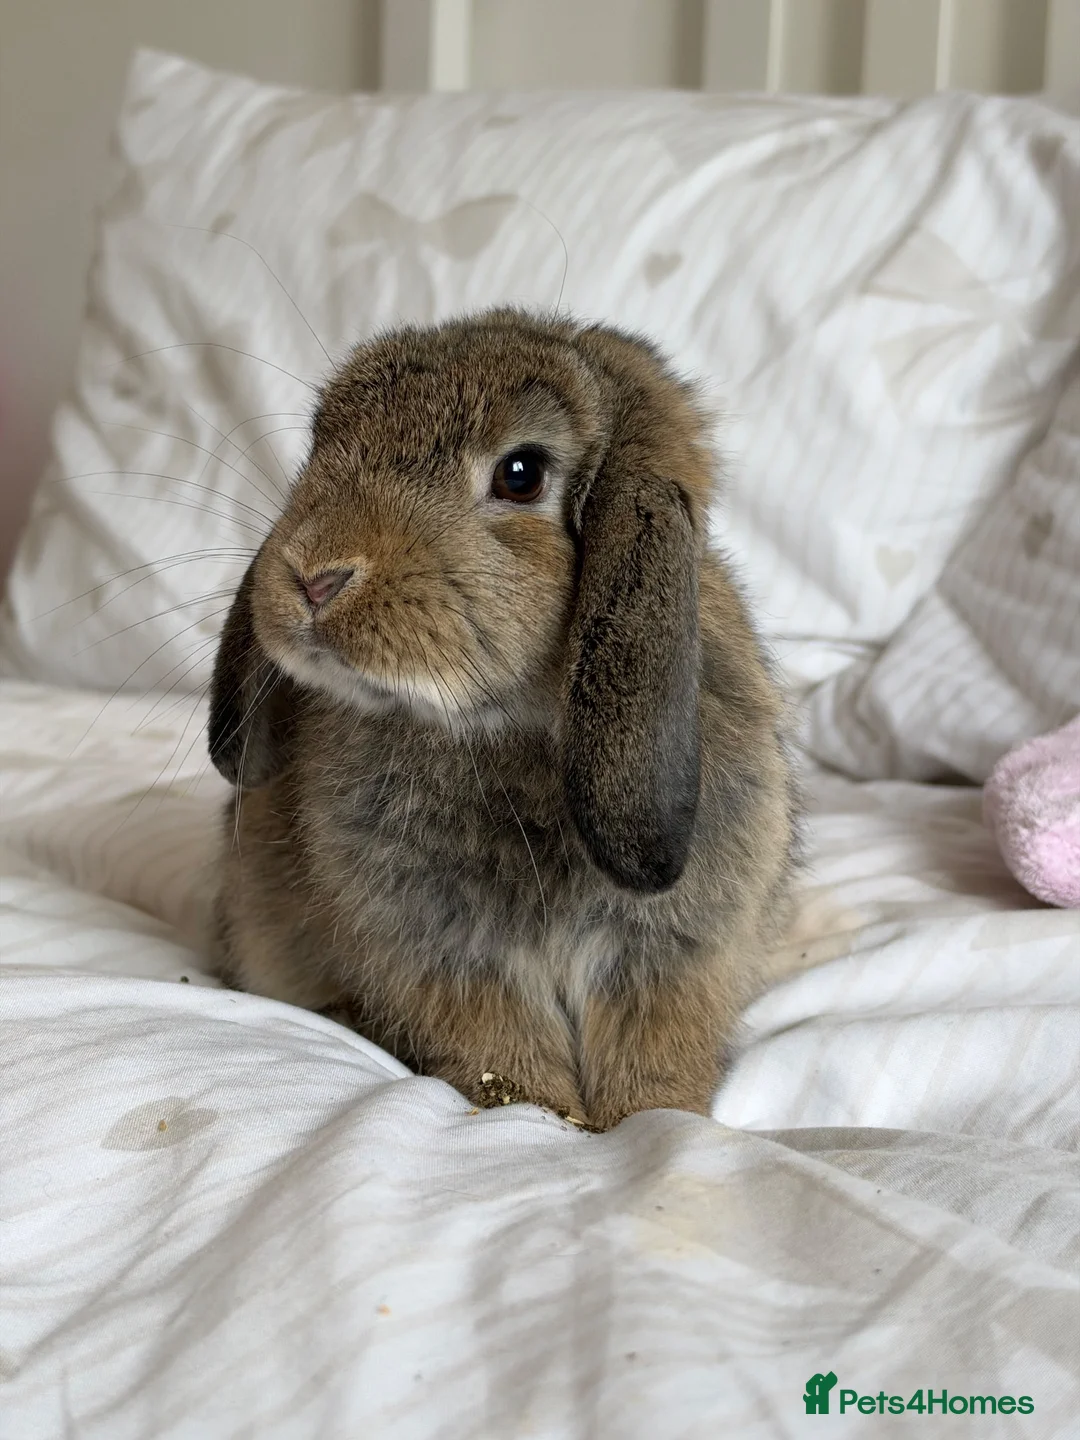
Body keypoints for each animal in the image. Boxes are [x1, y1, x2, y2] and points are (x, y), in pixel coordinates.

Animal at [207, 308, 799, 1130]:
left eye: (520, 474)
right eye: (321, 445)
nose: (313, 576)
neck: (513, 730)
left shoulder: (668, 954)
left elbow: (652, 1053)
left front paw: (656, 1119)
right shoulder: (450, 958)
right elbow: (501, 1050)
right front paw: (541, 1116)